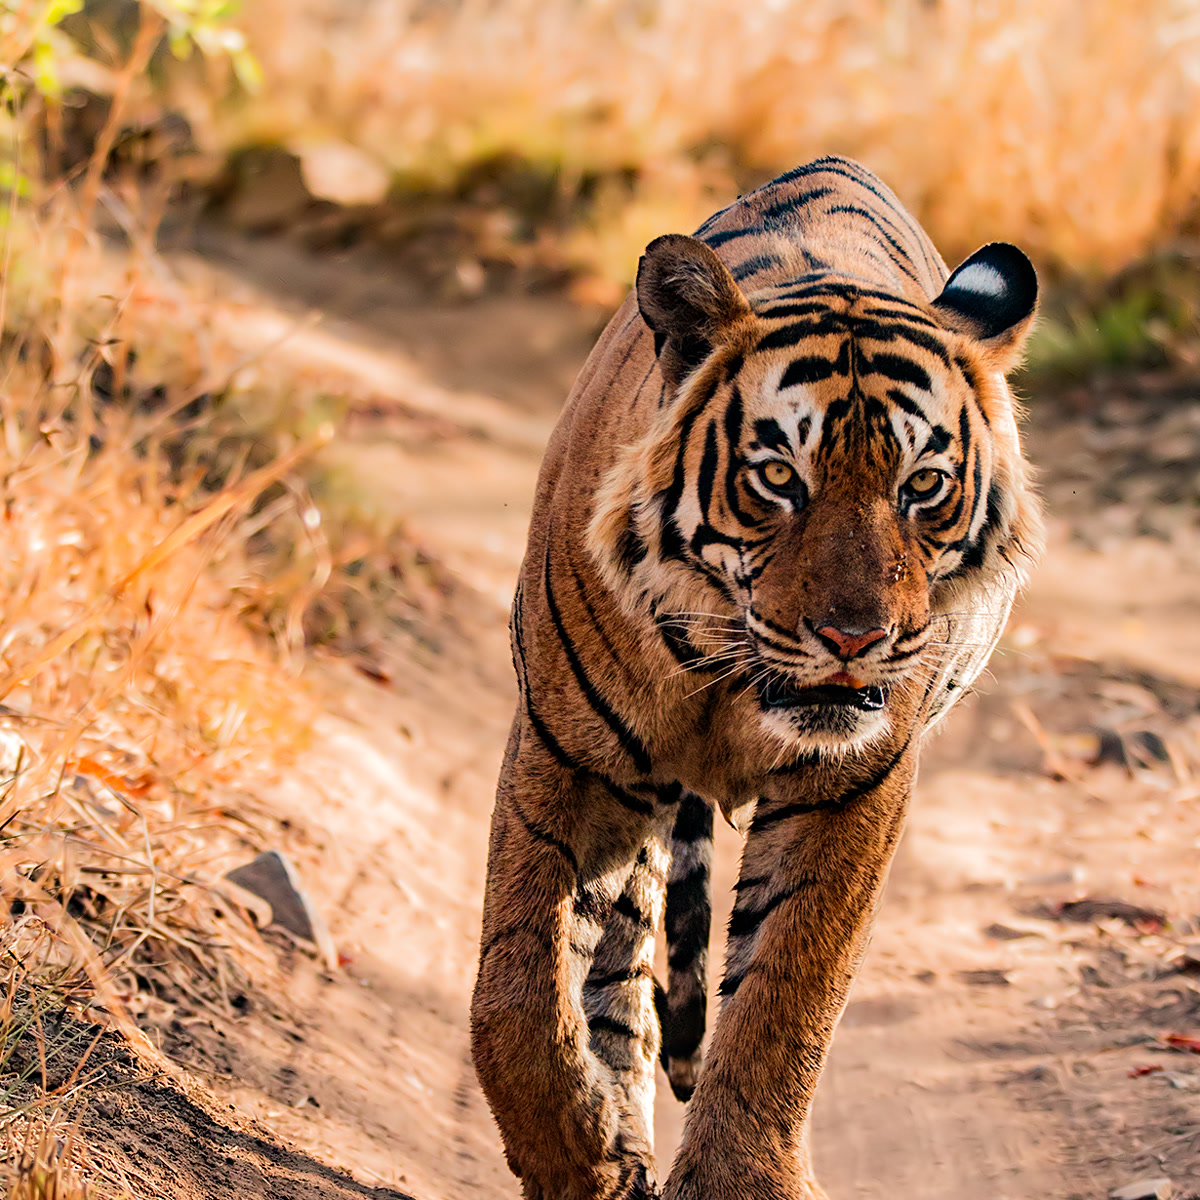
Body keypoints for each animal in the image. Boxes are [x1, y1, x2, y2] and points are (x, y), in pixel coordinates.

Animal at [470, 155, 1043, 1200]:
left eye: (922, 487)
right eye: (779, 477)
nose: (856, 637)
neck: (731, 678)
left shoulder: (851, 784)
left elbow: (786, 995)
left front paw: (739, 1179)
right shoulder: (568, 754)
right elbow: (518, 987)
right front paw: (577, 1160)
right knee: (618, 962)